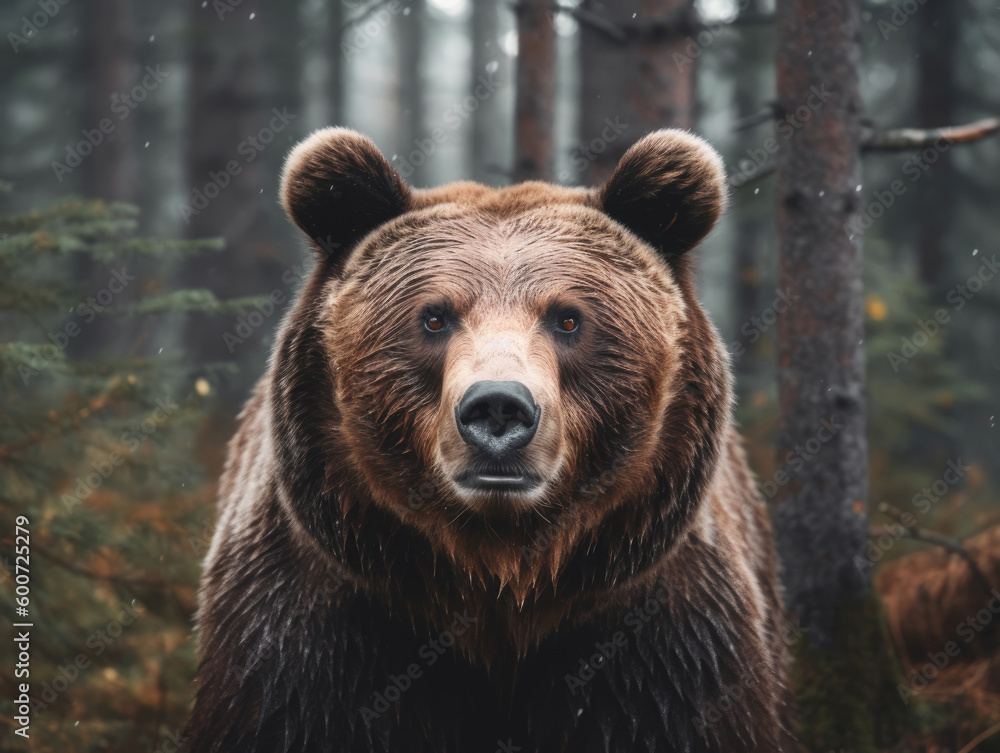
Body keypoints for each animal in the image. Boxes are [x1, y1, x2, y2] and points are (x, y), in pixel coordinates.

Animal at [186, 126, 788, 748]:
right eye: (434, 317)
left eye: (568, 318)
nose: (498, 408)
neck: (497, 585)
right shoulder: (317, 631)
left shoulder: (658, 641)